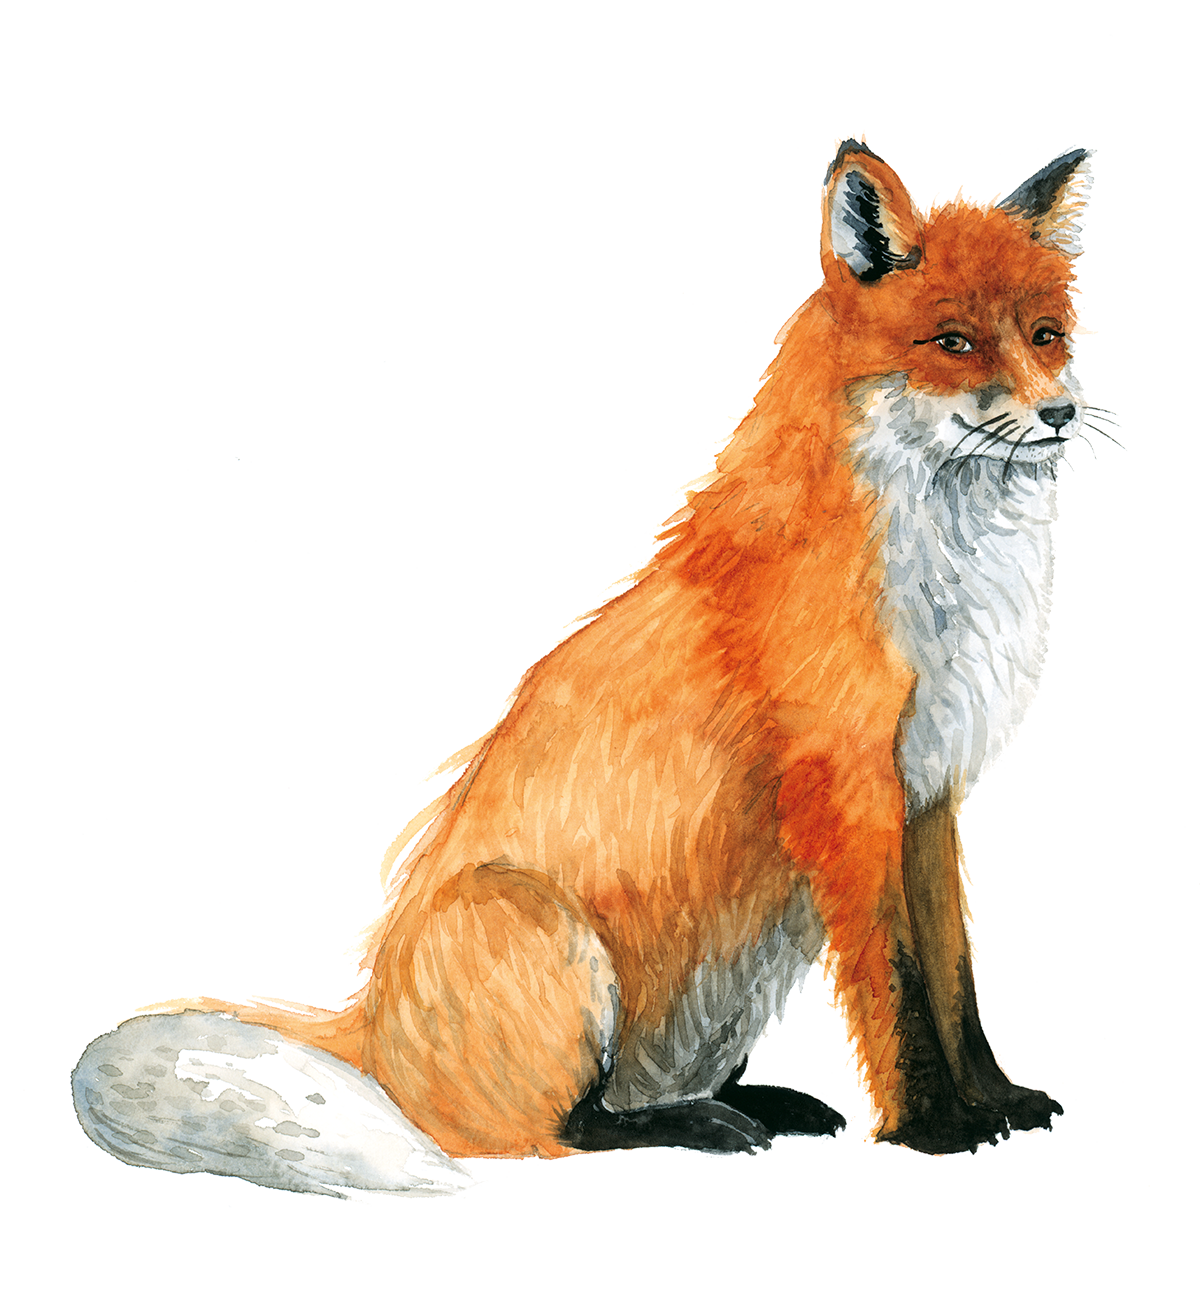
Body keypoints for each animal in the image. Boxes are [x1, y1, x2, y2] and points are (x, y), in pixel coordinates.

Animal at [74, 141, 1084, 1195]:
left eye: (1046, 335)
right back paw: (699, 1127)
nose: (1061, 412)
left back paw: (755, 1104)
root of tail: (369, 1026)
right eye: (955, 343)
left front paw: (998, 1100)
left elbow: (955, 979)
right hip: (544, 932)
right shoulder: (847, 794)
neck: (940, 582)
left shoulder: (926, 796)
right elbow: (897, 988)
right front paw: (935, 1127)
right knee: (556, 1130)